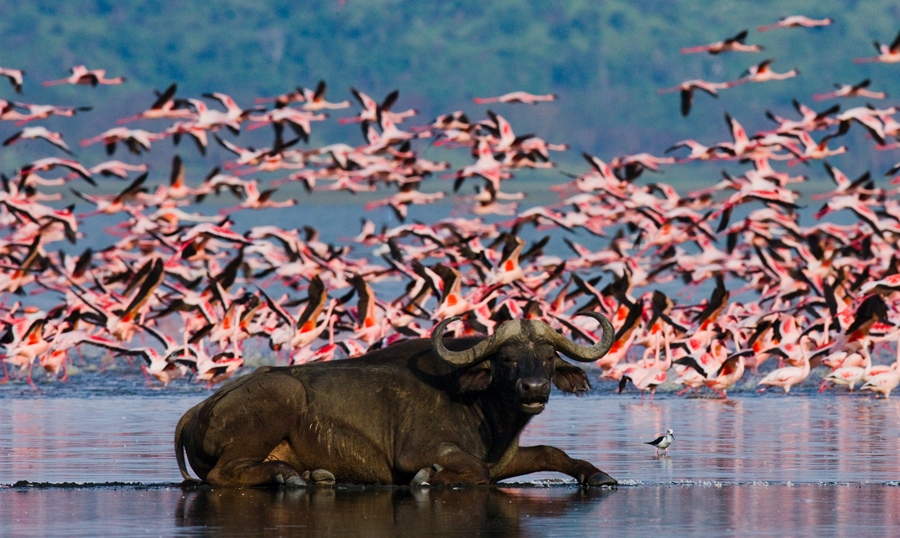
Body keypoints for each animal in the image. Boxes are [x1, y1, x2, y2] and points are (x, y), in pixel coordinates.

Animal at [173, 310, 616, 486]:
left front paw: (598, 475)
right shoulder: (417, 452)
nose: (534, 389)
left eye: (548, 358)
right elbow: (474, 471)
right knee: (222, 474)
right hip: (281, 396)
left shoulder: (506, 458)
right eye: (506, 360)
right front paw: (430, 478)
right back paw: (291, 478)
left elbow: (553, 453)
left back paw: (311, 476)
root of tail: (196, 409)